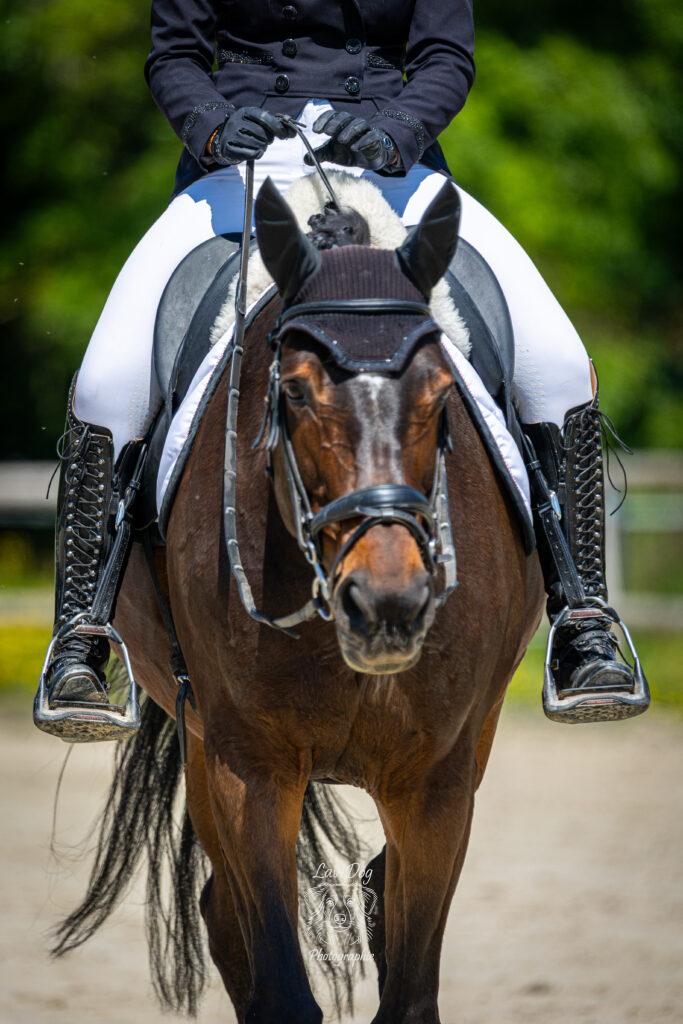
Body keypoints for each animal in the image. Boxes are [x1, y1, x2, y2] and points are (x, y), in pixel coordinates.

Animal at [52, 178, 544, 1023]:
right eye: (293, 391)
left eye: (442, 392)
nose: (387, 604)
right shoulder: (249, 768)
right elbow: (281, 984)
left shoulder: (435, 782)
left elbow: (409, 993)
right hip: (201, 738)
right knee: (224, 916)